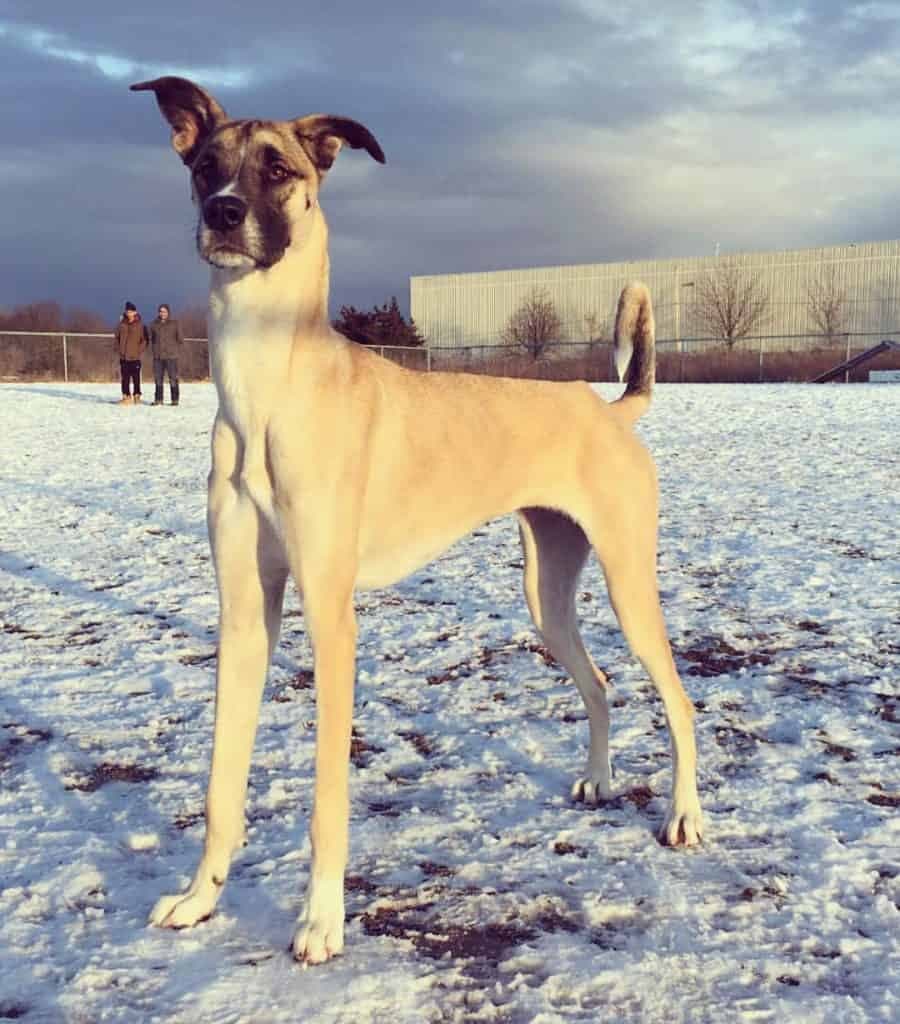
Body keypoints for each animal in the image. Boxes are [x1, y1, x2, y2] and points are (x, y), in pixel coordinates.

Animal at [132, 75, 704, 962]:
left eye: (277, 168)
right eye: (203, 167)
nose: (223, 214)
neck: (269, 388)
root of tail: (612, 410)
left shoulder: (332, 618)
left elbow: (328, 798)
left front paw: (321, 923)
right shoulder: (243, 612)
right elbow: (222, 781)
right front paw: (200, 899)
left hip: (628, 584)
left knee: (679, 701)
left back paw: (684, 817)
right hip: (548, 595)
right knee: (603, 683)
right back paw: (600, 781)